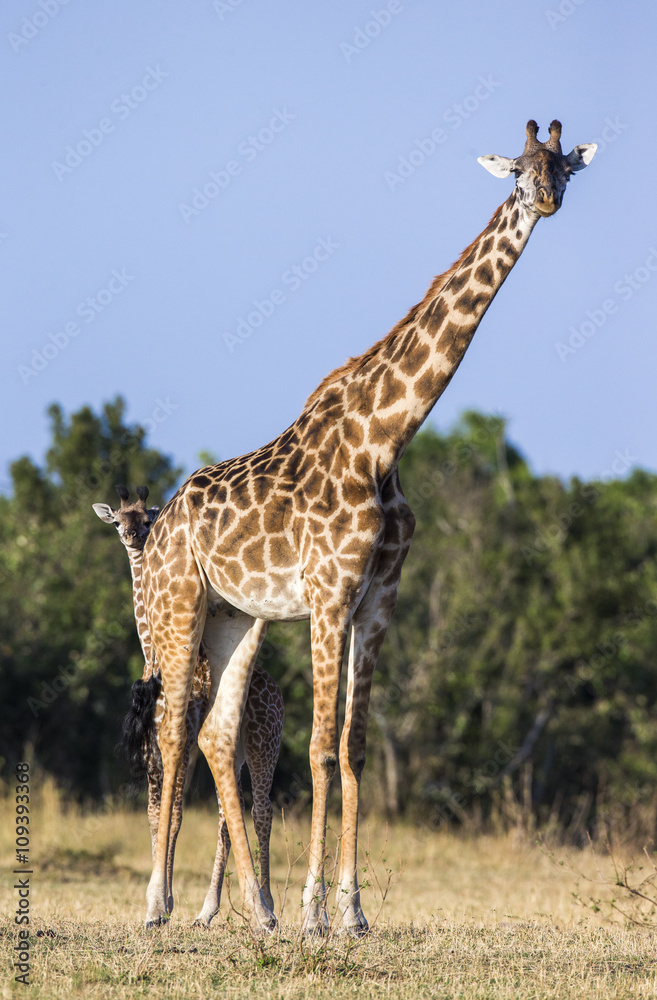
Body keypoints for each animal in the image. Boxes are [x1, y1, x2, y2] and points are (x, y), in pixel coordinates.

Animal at [92, 485, 284, 925]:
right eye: (118, 520)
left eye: (147, 518)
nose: (133, 537)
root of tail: (276, 692)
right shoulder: (156, 748)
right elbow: (157, 813)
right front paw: (161, 900)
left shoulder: (178, 745)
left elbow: (174, 814)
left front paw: (162, 903)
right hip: (238, 751)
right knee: (228, 814)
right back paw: (208, 910)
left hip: (266, 743)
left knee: (262, 810)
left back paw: (266, 903)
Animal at [139, 120, 597, 935]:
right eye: (517, 170)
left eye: (563, 168)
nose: (544, 200)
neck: (385, 438)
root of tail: (160, 523)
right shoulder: (328, 593)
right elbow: (321, 747)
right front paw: (317, 911)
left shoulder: (380, 596)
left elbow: (352, 744)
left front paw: (348, 910)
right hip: (177, 605)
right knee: (170, 730)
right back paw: (160, 905)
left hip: (236, 616)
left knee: (215, 733)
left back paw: (257, 908)